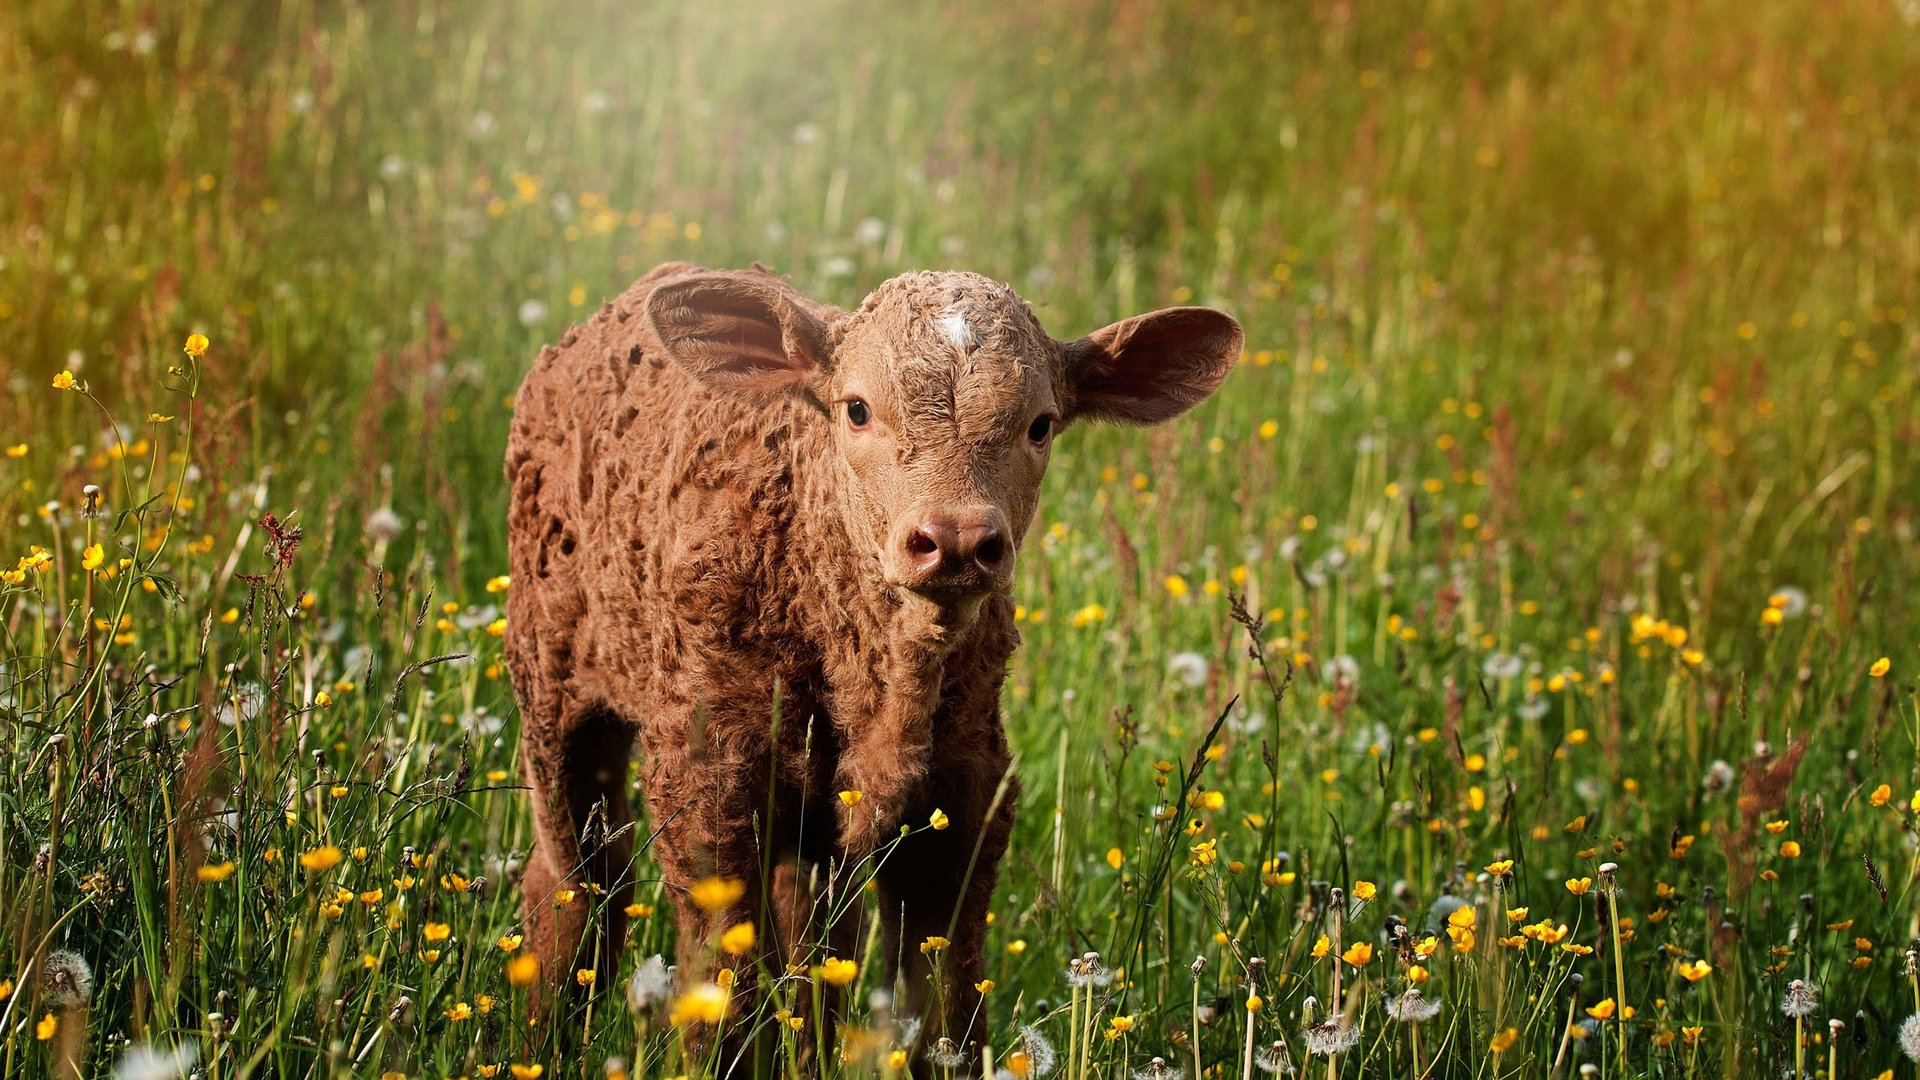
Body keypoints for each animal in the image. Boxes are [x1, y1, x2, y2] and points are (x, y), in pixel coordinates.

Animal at [503, 259, 1236, 1060]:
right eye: (856, 409)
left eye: (1040, 424)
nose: (955, 539)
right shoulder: (704, 785)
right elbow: (721, 994)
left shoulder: (966, 795)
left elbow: (943, 1004)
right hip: (554, 698)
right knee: (576, 884)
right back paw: (542, 1037)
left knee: (810, 929)